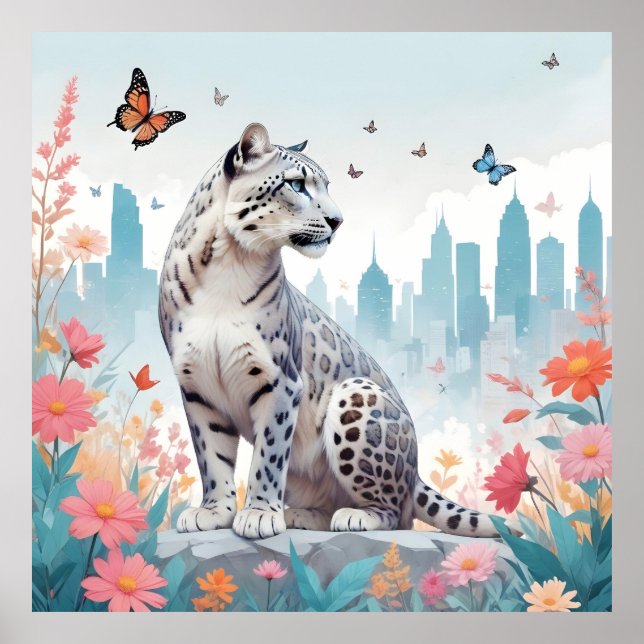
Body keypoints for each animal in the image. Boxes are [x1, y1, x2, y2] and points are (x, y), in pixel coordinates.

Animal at [159, 123, 509, 539]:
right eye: (297, 184)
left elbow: (268, 454)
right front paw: (214, 511)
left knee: (399, 513)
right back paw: (303, 515)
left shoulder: (280, 379)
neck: (227, 264)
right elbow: (211, 455)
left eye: (326, 186)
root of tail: (414, 472)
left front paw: (259, 514)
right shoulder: (196, 384)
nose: (337, 221)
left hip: (356, 397)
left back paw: (357, 517)